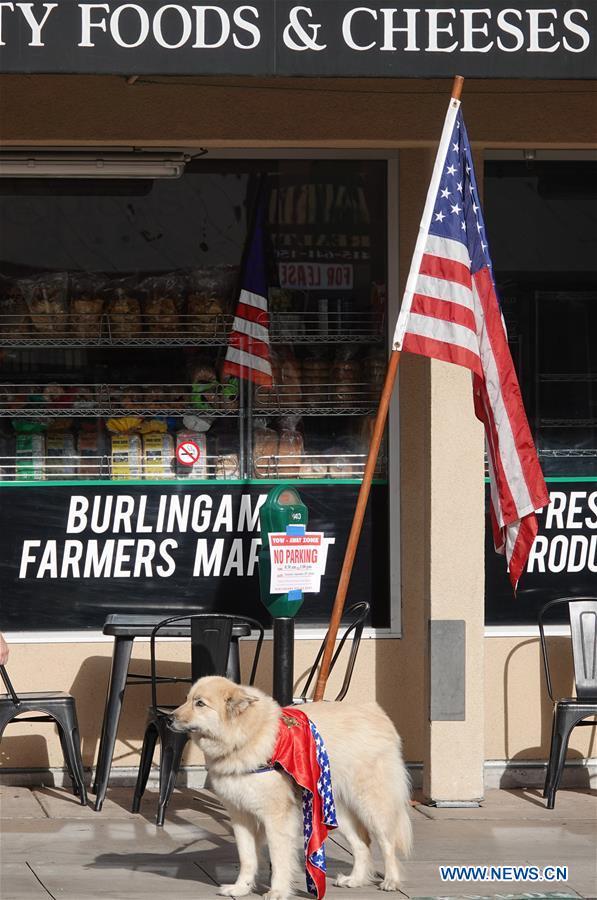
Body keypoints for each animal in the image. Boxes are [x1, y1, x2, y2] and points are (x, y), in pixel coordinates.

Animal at [168, 676, 410, 900]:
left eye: (200, 703)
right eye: (187, 699)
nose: (169, 718)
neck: (245, 736)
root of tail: (376, 712)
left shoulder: (276, 817)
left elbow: (278, 858)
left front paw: (277, 891)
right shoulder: (240, 816)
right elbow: (247, 858)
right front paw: (240, 888)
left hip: (371, 804)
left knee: (387, 842)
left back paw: (391, 881)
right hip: (334, 810)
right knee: (362, 843)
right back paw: (355, 880)